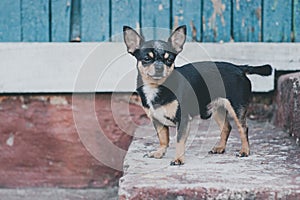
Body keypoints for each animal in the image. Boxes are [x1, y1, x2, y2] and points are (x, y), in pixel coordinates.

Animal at [123, 25, 274, 166]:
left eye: (169, 60)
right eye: (146, 59)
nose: (160, 67)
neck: (157, 87)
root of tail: (239, 68)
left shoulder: (182, 120)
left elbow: (179, 140)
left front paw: (178, 159)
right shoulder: (157, 120)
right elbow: (163, 138)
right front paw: (160, 152)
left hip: (236, 108)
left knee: (243, 128)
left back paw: (244, 151)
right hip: (217, 109)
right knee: (227, 127)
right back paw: (220, 148)